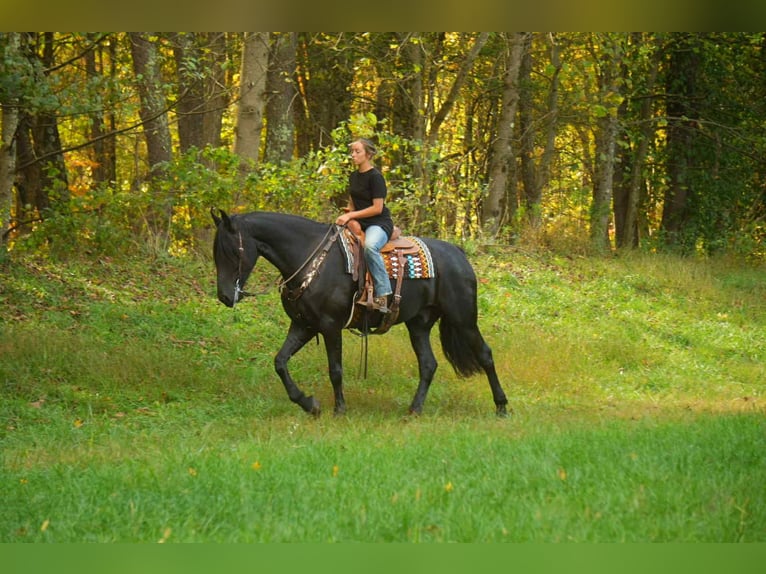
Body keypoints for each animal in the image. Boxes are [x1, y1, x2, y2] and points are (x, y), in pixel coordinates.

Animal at [211, 208, 509, 417]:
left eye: (231, 251)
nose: (224, 296)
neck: (309, 257)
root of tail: (458, 254)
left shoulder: (330, 326)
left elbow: (335, 369)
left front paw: (339, 409)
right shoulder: (303, 325)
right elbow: (280, 362)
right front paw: (309, 404)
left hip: (463, 318)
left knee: (485, 354)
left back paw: (502, 406)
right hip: (419, 324)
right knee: (428, 364)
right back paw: (413, 410)